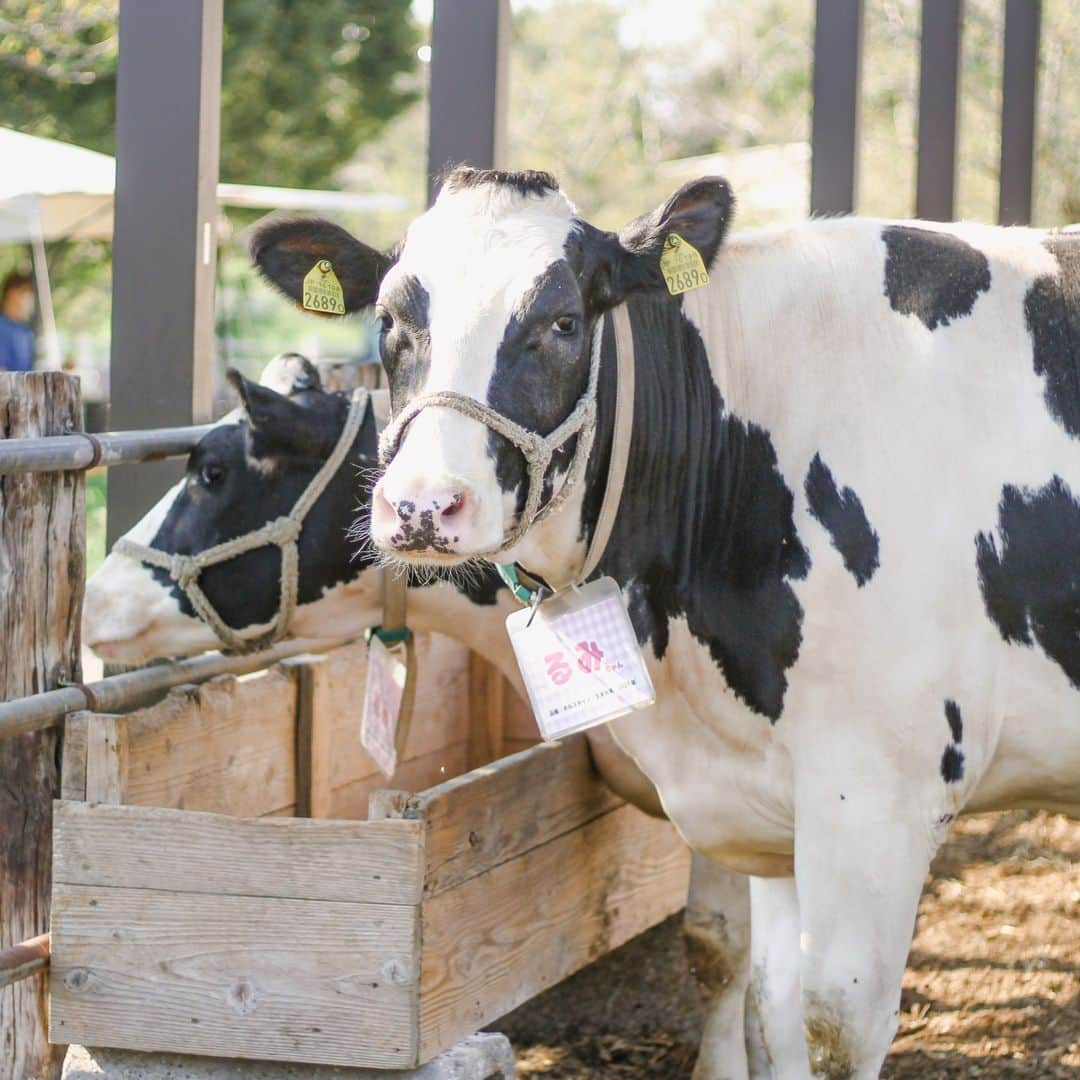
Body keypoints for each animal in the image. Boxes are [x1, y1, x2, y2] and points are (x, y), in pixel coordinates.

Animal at [250, 164, 1080, 1075]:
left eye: (563, 322)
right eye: (391, 321)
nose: (423, 506)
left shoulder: (879, 793)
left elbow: (833, 1025)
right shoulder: (770, 801)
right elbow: (767, 1002)